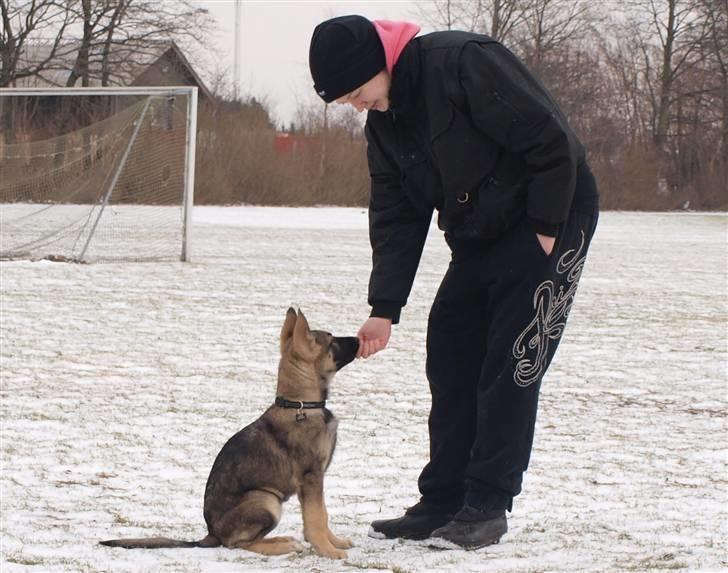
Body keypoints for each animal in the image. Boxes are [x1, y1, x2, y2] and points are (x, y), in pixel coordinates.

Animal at [99, 308, 362, 560]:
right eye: (332, 340)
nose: (360, 338)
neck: (299, 404)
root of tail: (211, 534)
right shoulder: (311, 478)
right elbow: (318, 517)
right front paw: (329, 551)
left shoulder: (314, 482)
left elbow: (321, 514)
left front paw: (334, 542)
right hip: (266, 499)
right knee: (236, 544)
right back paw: (283, 545)